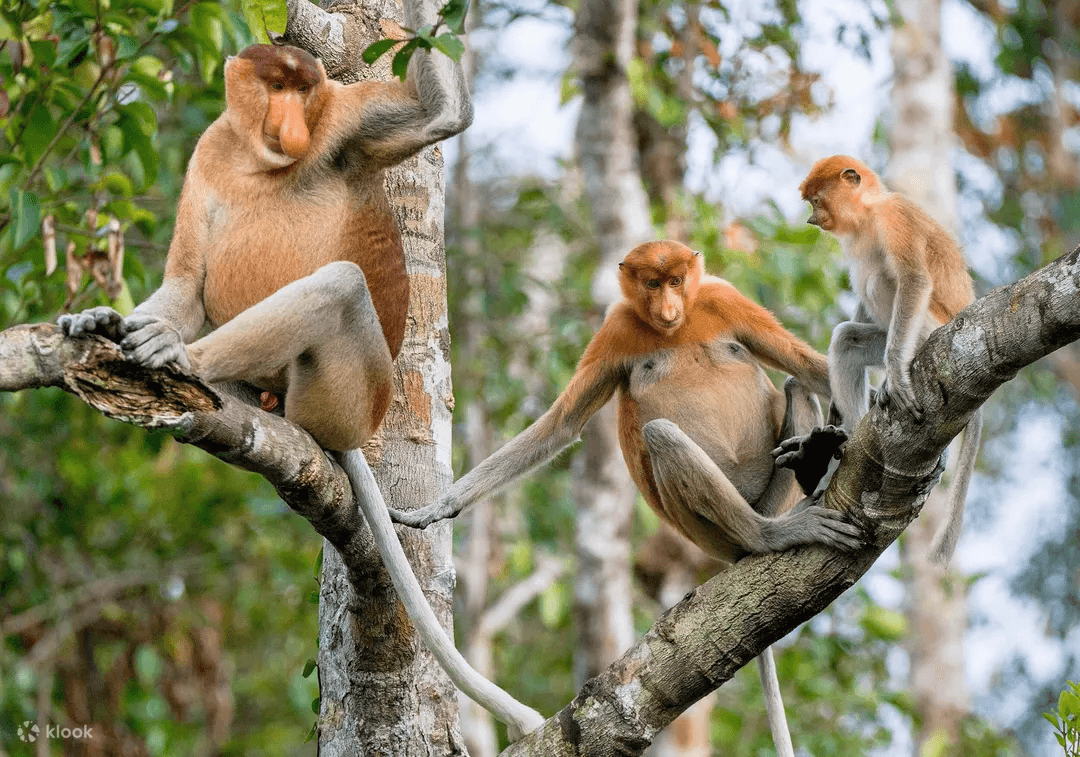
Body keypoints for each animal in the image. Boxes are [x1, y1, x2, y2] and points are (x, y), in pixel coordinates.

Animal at [58, 35, 545, 736]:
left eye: (303, 89)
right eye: (276, 86)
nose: (291, 125)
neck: (257, 161)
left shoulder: (343, 121)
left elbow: (440, 115)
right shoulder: (208, 154)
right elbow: (183, 285)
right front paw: (102, 317)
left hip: (345, 395)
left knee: (340, 283)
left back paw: (181, 358)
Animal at [390, 240, 863, 757]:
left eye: (676, 281)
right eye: (652, 284)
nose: (669, 308)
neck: (676, 329)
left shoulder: (723, 298)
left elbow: (807, 366)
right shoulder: (615, 331)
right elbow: (562, 425)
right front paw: (436, 508)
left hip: (768, 495)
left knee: (796, 385)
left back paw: (813, 461)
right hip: (705, 528)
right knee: (662, 434)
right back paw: (770, 534)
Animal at [799, 155, 982, 565]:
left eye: (816, 200)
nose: (811, 219)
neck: (869, 212)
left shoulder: (893, 217)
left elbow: (913, 279)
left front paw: (896, 372)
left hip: (930, 327)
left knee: (885, 277)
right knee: (847, 340)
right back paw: (844, 448)